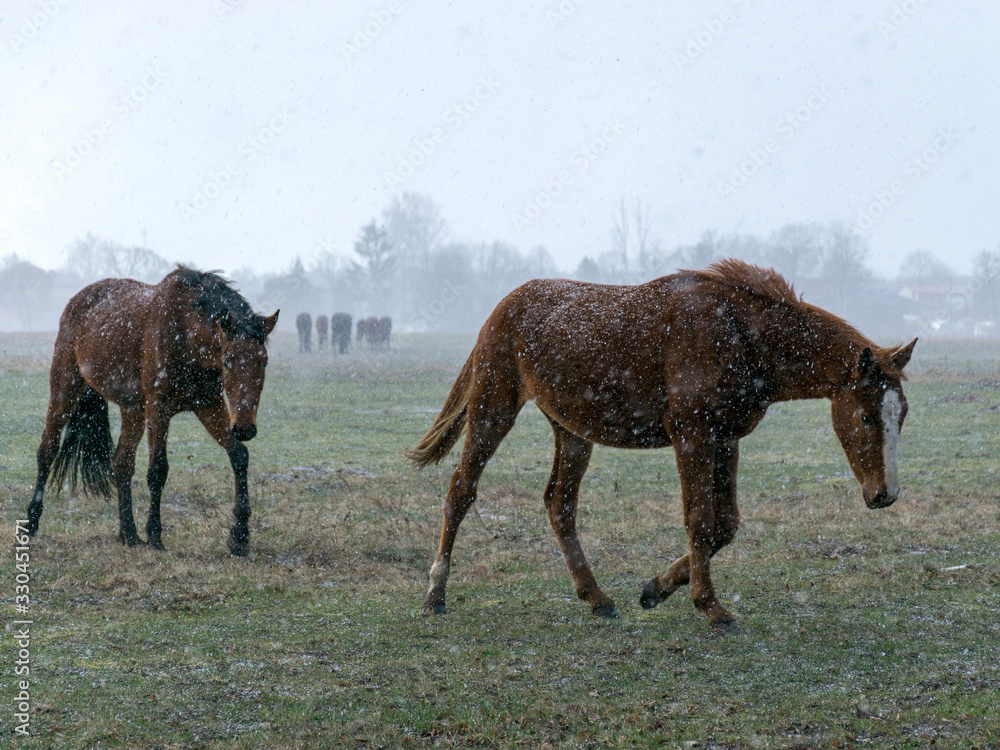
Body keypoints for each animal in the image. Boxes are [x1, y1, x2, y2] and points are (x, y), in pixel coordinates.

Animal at [25, 267, 279, 556]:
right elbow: (158, 469)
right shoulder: (159, 408)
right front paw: (156, 536)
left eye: (264, 361)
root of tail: (77, 301)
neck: (186, 334)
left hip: (132, 409)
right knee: (47, 450)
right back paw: (31, 523)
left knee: (121, 463)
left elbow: (239, 455)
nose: (245, 427)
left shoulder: (209, 405)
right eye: (228, 360)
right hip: (65, 387)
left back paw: (129, 534)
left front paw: (239, 535)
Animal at [407, 260, 915, 632]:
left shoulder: (724, 440)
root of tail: (500, 308)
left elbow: (725, 524)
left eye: (903, 414)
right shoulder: (691, 437)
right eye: (867, 416)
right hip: (493, 410)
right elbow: (700, 520)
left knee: (559, 504)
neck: (739, 333)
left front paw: (656, 588)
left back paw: (598, 598)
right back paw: (435, 594)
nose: (885, 495)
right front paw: (711, 607)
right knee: (461, 491)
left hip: (572, 432)